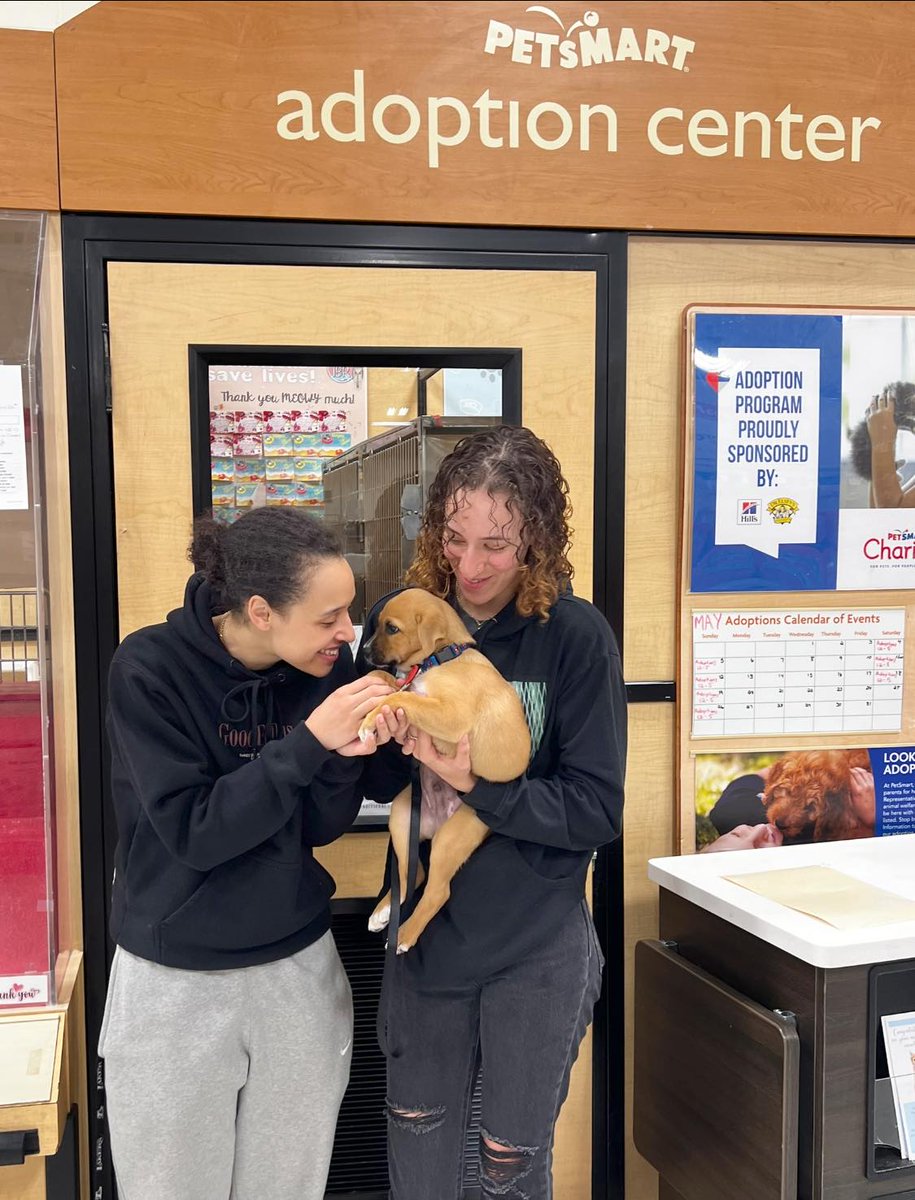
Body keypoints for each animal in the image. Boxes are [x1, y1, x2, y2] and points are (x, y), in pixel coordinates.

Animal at [355, 585, 528, 950]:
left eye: (392, 628)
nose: (363, 651)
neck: (441, 658)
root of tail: (434, 825)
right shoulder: (409, 685)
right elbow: (388, 682)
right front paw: (368, 693)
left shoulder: (450, 715)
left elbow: (401, 698)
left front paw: (370, 719)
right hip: (402, 816)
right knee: (413, 874)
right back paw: (383, 914)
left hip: (452, 838)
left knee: (437, 891)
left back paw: (405, 936)